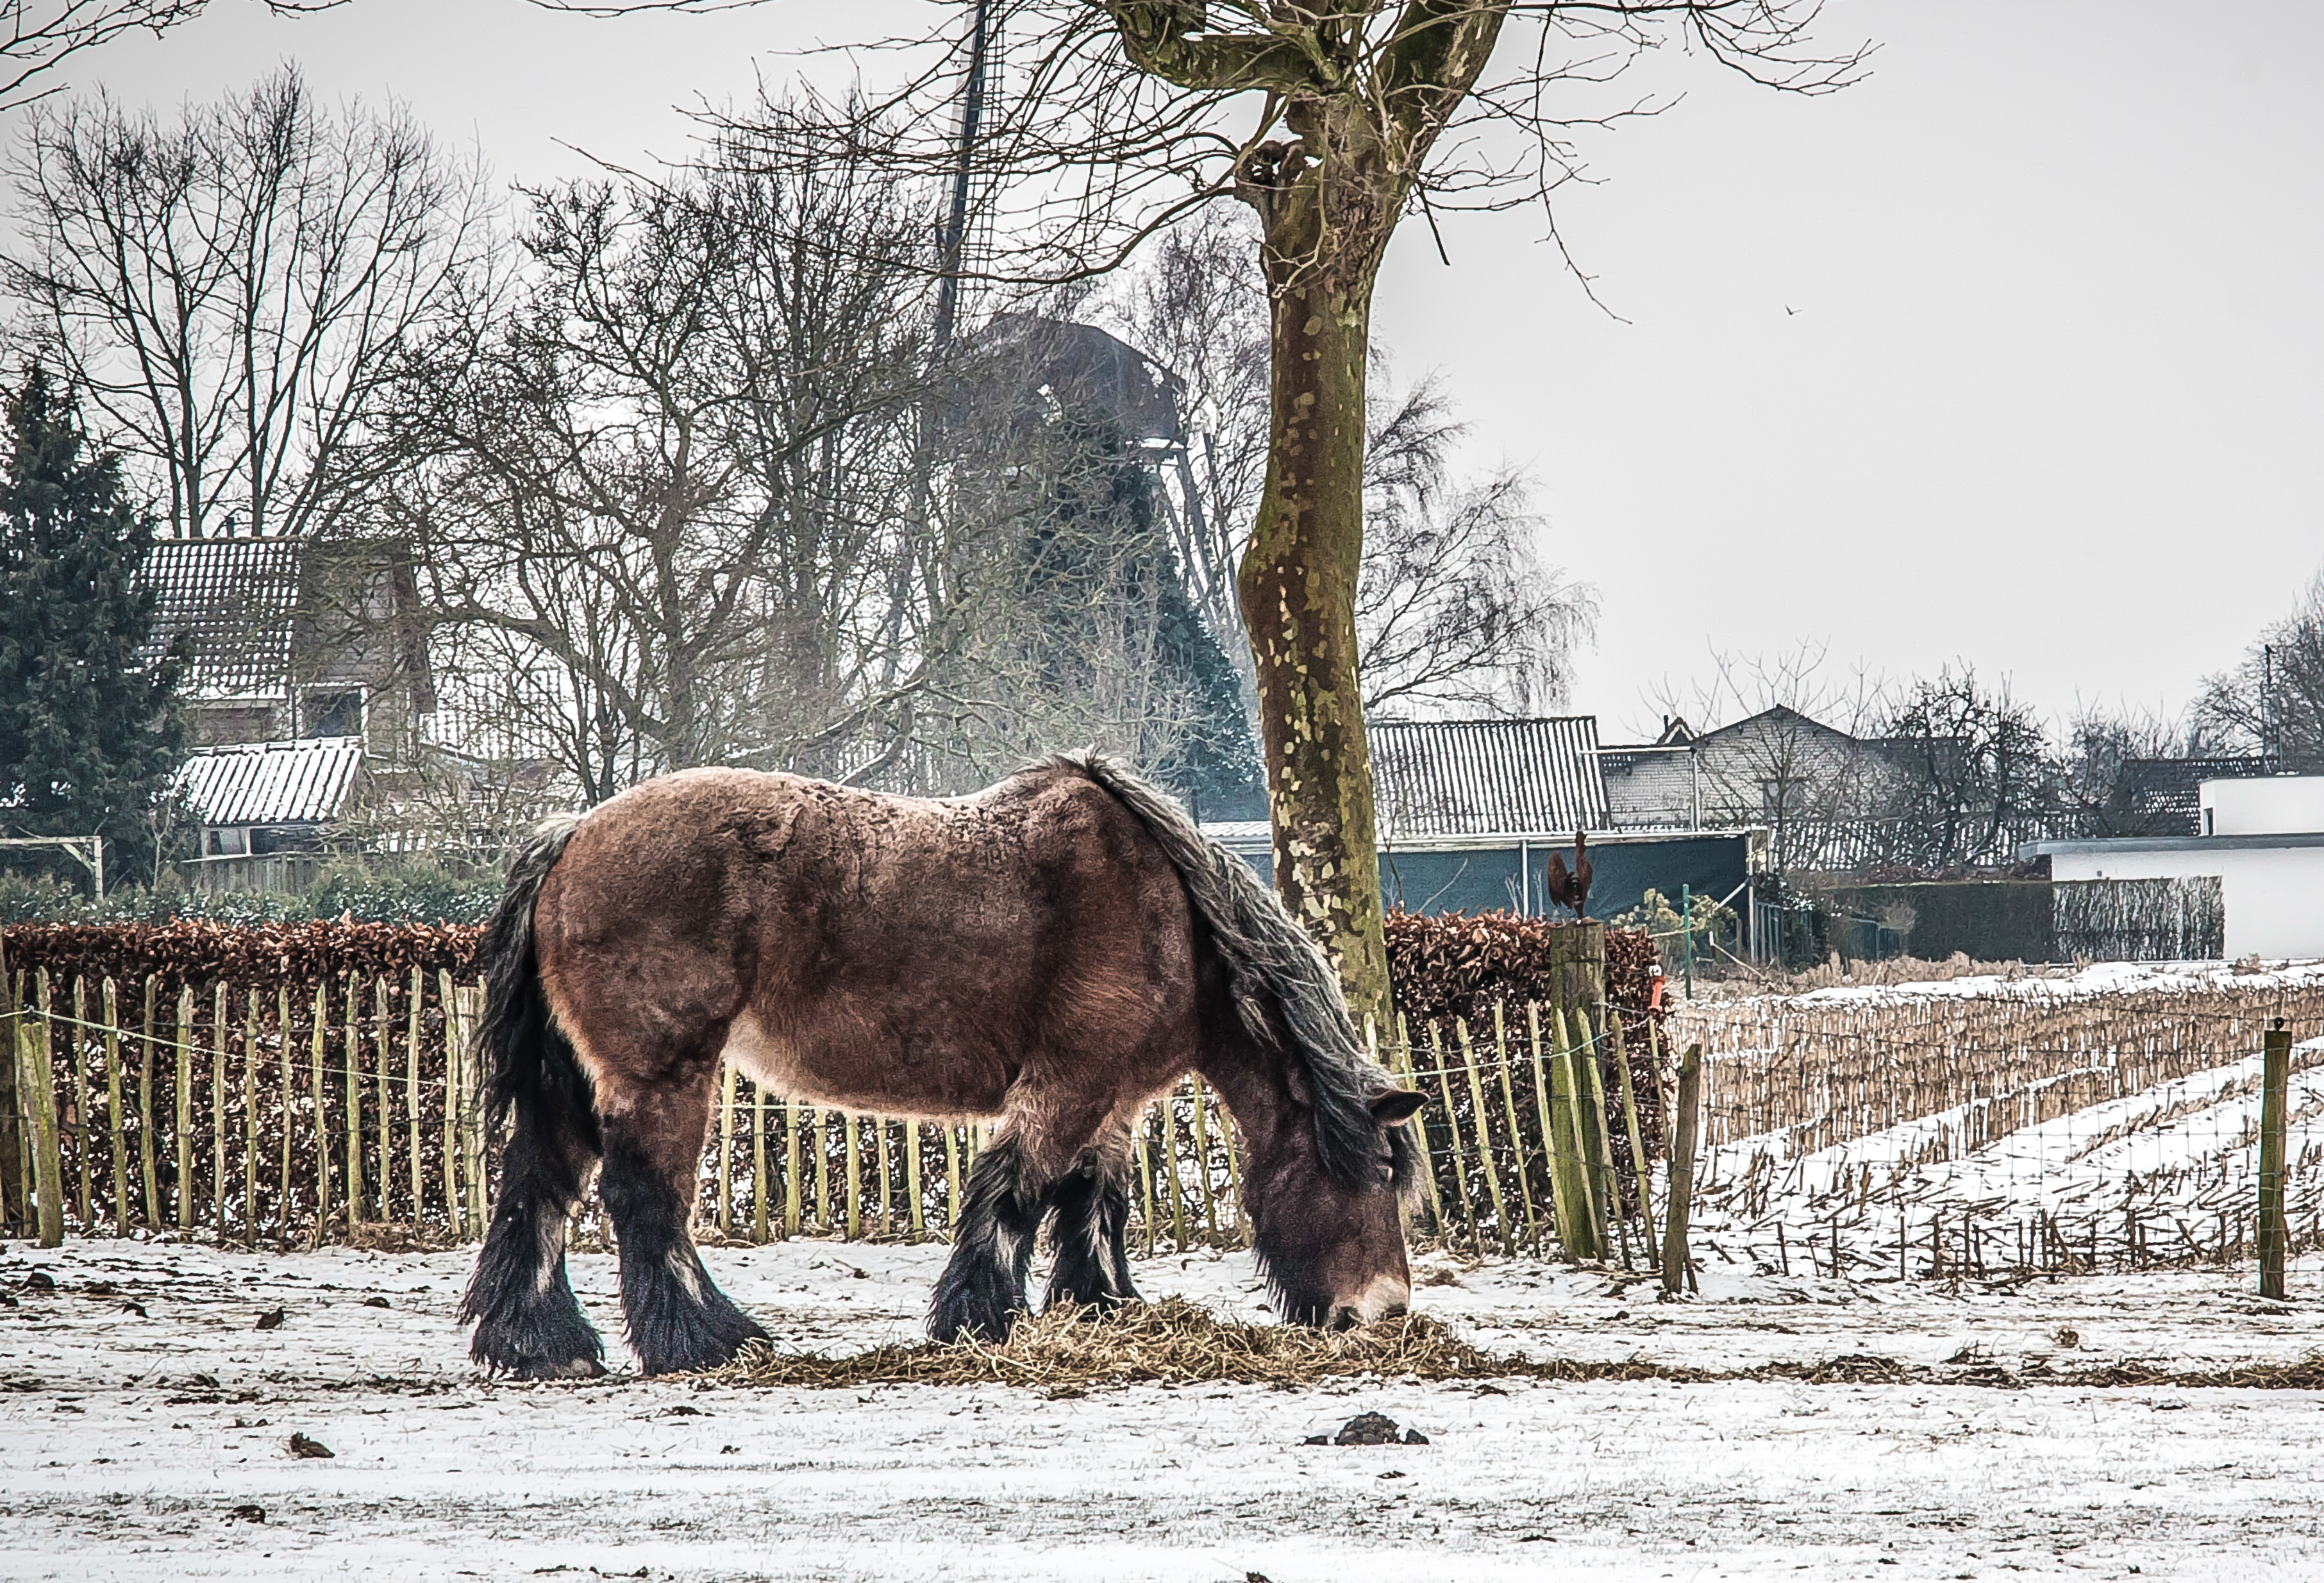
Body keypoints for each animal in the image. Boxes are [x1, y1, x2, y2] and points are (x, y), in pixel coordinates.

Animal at [459, 752, 1426, 1378]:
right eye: (1374, 1175)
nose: (1382, 1313)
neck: (1170, 920)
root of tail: (572, 833)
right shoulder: (1068, 1086)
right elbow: (1016, 1192)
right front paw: (978, 1320)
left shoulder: (1112, 1100)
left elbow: (1093, 1203)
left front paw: (1100, 1308)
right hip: (663, 1074)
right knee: (644, 1202)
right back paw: (704, 1342)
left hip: (576, 1086)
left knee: (538, 1190)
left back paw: (541, 1347)